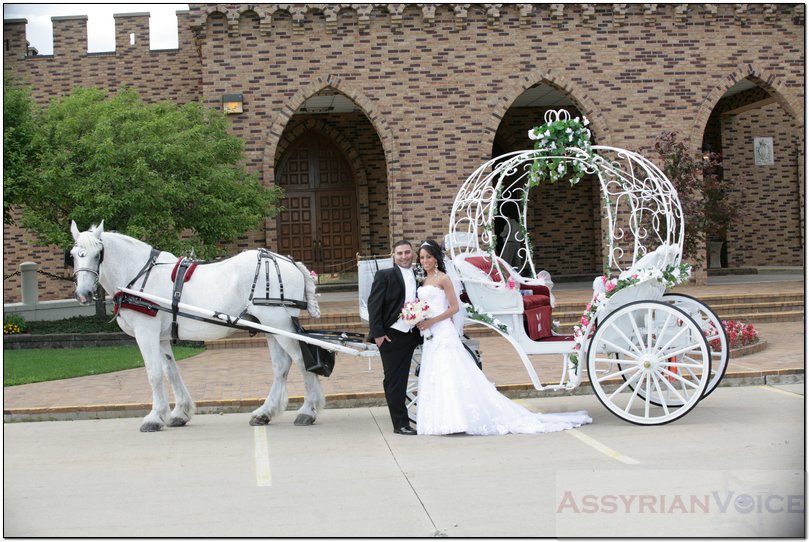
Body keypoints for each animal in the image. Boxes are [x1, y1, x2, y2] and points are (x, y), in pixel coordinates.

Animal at [70, 221, 324, 432]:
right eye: (73, 255)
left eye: (98, 254)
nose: (83, 294)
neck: (139, 274)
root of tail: (290, 262)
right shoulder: (161, 337)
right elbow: (171, 371)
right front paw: (179, 413)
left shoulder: (146, 332)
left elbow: (154, 373)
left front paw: (154, 417)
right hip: (271, 328)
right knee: (281, 365)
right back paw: (265, 413)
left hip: (279, 323)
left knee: (302, 361)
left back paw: (307, 411)